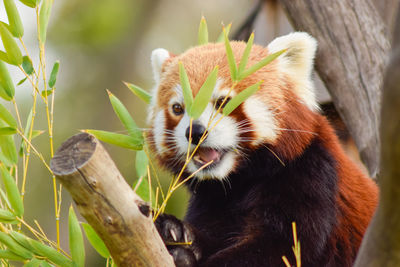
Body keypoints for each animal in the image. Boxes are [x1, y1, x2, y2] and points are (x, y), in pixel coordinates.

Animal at [148, 33, 378, 267]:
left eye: (223, 102)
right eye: (178, 108)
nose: (194, 132)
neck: (240, 181)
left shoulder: (312, 175)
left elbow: (281, 247)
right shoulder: (211, 200)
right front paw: (173, 230)